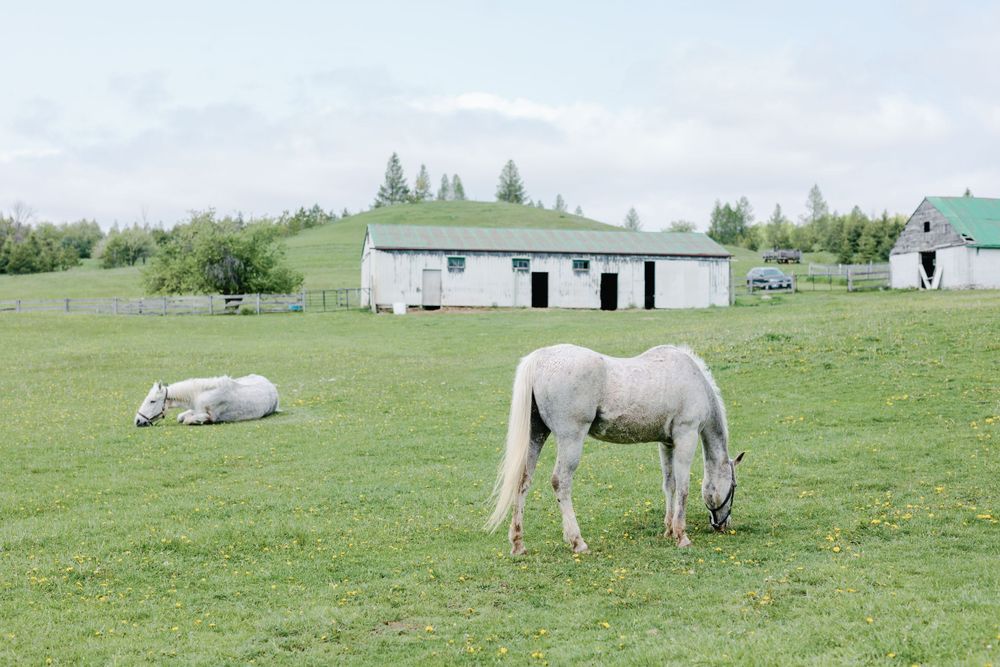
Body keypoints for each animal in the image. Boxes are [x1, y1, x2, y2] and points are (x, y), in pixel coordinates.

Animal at [134, 374, 280, 427]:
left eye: (152, 401)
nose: (138, 421)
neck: (198, 394)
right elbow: (181, 417)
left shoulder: (208, 414)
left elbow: (188, 420)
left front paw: (199, 421)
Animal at [486, 344, 744, 555]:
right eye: (733, 486)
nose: (722, 525)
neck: (693, 379)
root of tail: (539, 359)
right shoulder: (686, 437)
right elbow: (683, 488)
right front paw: (681, 535)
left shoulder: (667, 443)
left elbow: (669, 485)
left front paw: (669, 529)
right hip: (571, 440)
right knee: (561, 482)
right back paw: (577, 541)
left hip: (536, 436)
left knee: (523, 481)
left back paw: (518, 543)